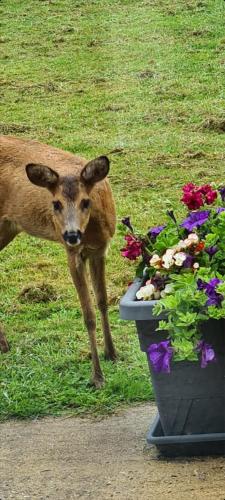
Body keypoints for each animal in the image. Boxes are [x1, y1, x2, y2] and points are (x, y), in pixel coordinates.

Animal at [0, 135, 116, 388]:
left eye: (86, 201)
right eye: (55, 204)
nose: (71, 234)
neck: (91, 232)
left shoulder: (100, 249)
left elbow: (103, 301)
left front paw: (112, 353)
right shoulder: (73, 254)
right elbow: (88, 314)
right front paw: (97, 376)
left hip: (7, 228)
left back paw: (3, 344)